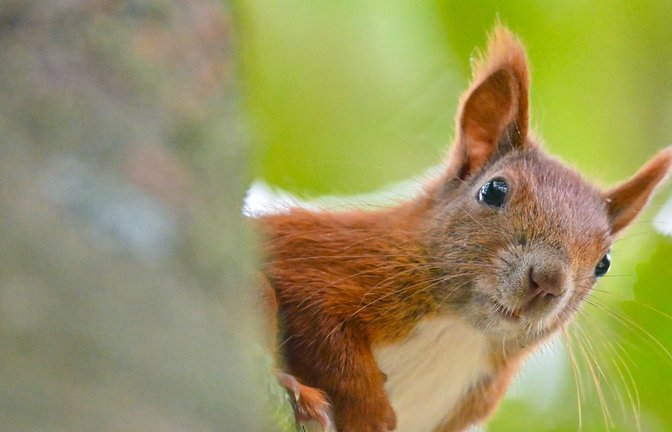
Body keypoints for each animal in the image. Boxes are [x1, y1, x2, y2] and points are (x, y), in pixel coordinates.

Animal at [256, 26, 672, 432]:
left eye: (604, 263)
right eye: (494, 190)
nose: (548, 281)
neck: (460, 330)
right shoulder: (324, 256)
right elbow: (326, 333)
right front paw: (370, 414)